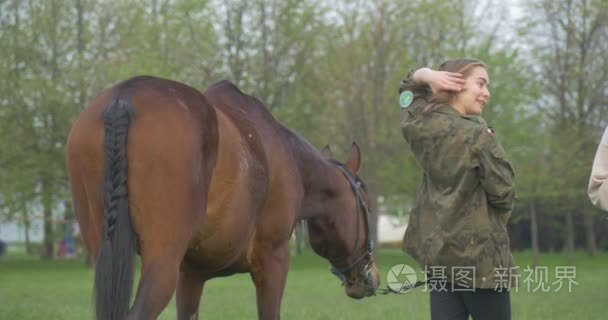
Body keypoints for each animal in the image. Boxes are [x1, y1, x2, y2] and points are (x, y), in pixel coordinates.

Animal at [66, 75, 380, 320]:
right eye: (367, 204)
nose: (371, 276)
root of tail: (122, 99)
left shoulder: (190, 275)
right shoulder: (274, 260)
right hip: (162, 262)